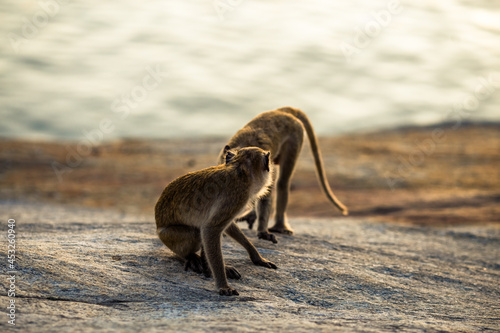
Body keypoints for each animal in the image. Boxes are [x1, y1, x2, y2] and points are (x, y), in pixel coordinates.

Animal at [155, 147, 278, 294]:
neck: (241, 170)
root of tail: (157, 225)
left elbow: (228, 225)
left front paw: (257, 257)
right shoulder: (237, 195)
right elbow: (210, 229)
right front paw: (223, 285)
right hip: (168, 236)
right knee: (196, 233)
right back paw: (192, 258)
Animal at [219, 105, 348, 241]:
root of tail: (281, 112)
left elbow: (266, 194)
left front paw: (262, 231)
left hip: (295, 137)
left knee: (283, 182)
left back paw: (279, 226)